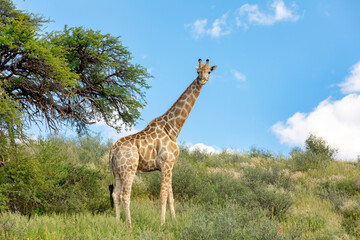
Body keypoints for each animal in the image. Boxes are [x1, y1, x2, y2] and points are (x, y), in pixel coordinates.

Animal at [109, 58, 217, 229]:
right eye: (197, 71)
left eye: (209, 71)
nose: (203, 80)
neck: (172, 128)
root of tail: (113, 150)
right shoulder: (166, 163)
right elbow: (163, 195)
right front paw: (162, 224)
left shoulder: (170, 165)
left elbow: (171, 196)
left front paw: (174, 222)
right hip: (129, 168)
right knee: (125, 195)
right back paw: (130, 226)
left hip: (116, 170)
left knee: (115, 194)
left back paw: (118, 223)